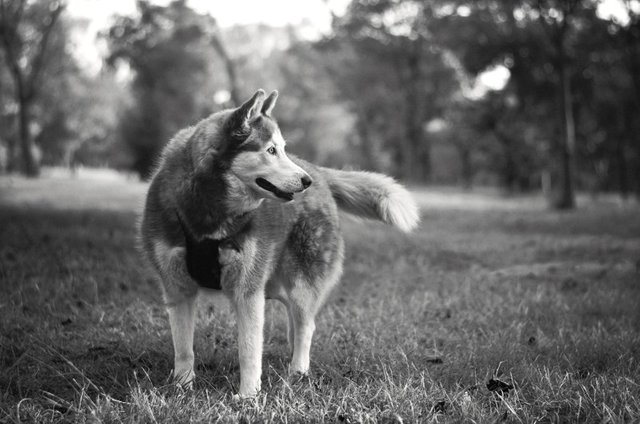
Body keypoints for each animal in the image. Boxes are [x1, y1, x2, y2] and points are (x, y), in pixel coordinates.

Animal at [140, 88, 420, 398]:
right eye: (271, 150)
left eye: (282, 148)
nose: (305, 181)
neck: (210, 212)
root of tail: (318, 170)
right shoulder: (177, 287)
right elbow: (183, 347)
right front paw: (182, 385)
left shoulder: (247, 290)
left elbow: (249, 350)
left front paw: (248, 396)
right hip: (274, 281)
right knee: (294, 321)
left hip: (301, 281)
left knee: (306, 324)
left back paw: (298, 370)